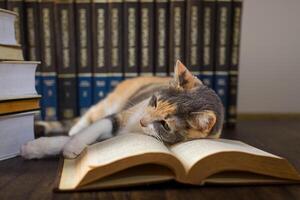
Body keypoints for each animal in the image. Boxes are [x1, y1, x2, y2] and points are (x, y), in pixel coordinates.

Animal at [20, 61, 223, 159]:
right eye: (155, 101)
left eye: (165, 124)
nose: (142, 121)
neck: (135, 128)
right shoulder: (122, 115)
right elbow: (91, 130)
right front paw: (68, 146)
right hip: (110, 102)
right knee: (87, 117)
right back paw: (75, 128)